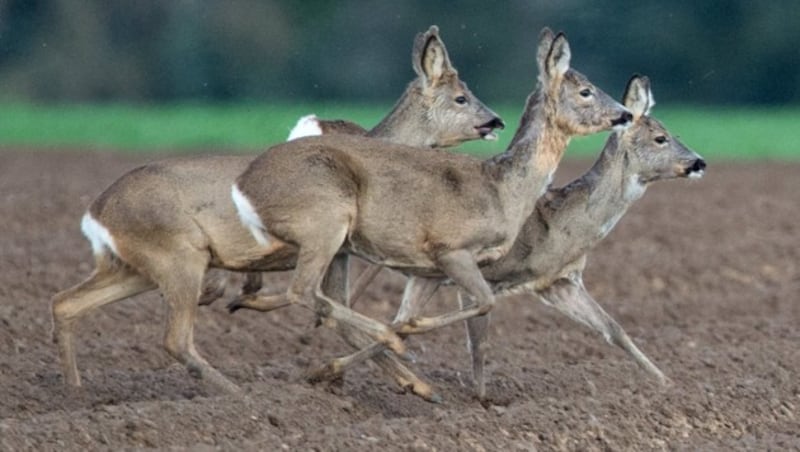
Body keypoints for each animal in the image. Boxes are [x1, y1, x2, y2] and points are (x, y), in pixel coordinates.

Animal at [50, 24, 500, 394]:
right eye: (461, 97)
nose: (495, 121)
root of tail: (95, 214)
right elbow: (315, 305)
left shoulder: (339, 253)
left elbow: (336, 315)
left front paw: (414, 382)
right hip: (179, 257)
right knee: (174, 338)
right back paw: (238, 394)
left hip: (133, 267)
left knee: (65, 303)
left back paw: (74, 393)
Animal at [234, 28, 636, 400]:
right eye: (585, 90)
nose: (625, 113)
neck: (502, 188)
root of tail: (247, 179)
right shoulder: (450, 249)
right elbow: (482, 304)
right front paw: (408, 340)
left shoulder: (428, 269)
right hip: (327, 225)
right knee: (302, 289)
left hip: (338, 246)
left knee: (321, 298)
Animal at [308, 76, 708, 400]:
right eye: (661, 138)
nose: (699, 162)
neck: (561, 224)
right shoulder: (481, 272)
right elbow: (476, 340)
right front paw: (482, 402)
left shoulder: (558, 282)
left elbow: (614, 329)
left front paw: (668, 384)